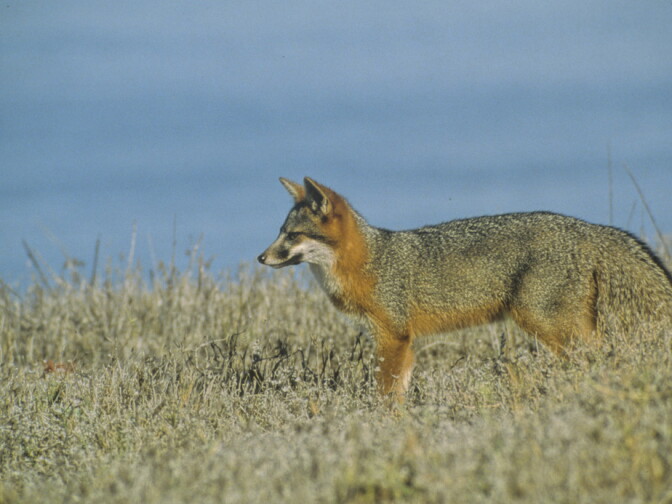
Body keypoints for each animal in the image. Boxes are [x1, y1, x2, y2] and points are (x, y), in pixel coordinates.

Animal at [258, 177, 672, 399]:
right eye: (279, 232)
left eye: (291, 236)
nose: (261, 257)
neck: (369, 262)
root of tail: (586, 226)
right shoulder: (400, 341)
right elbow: (400, 390)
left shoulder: (393, 336)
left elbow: (386, 392)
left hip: (547, 324)